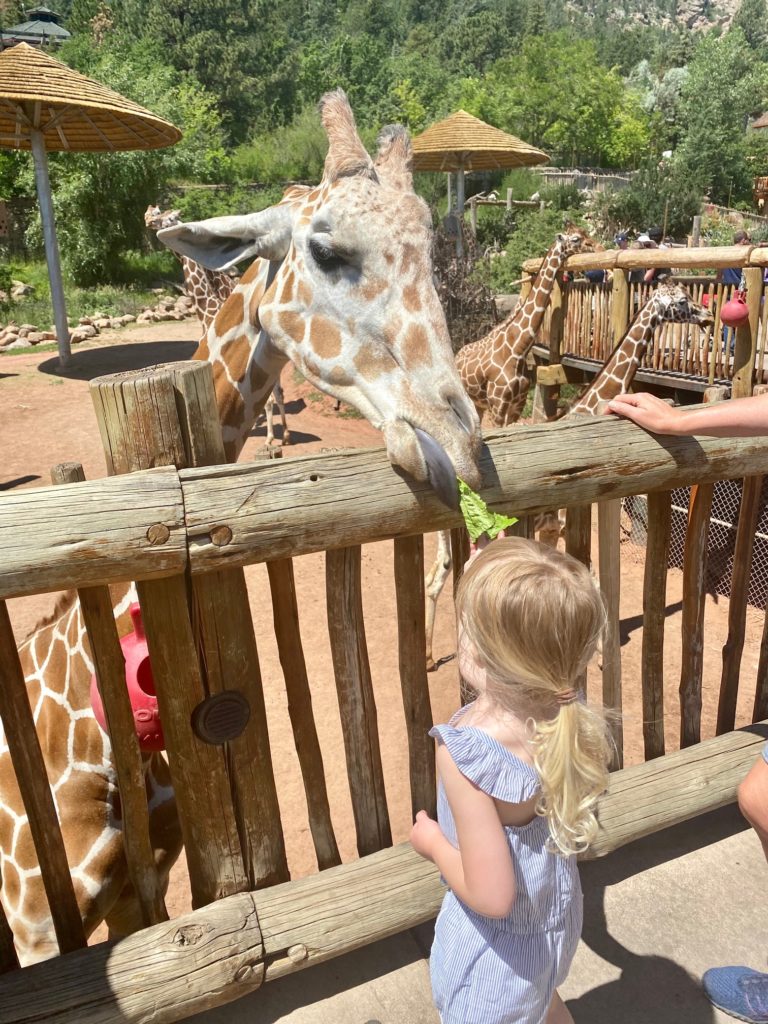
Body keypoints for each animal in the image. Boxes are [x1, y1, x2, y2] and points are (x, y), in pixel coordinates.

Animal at [1, 86, 481, 958]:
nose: (460, 444)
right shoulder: (36, 928)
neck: (86, 748)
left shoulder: (143, 885)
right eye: (325, 250)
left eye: (432, 248)